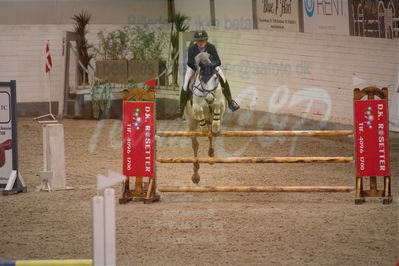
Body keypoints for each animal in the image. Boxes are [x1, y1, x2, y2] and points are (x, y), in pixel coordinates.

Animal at [184, 52, 227, 185]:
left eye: (215, 78)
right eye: (202, 79)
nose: (209, 99)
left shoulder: (220, 104)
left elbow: (218, 106)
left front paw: (216, 127)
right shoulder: (196, 107)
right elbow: (198, 111)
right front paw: (203, 128)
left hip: (209, 119)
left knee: (210, 135)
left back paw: (211, 154)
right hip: (191, 123)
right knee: (195, 144)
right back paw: (195, 175)